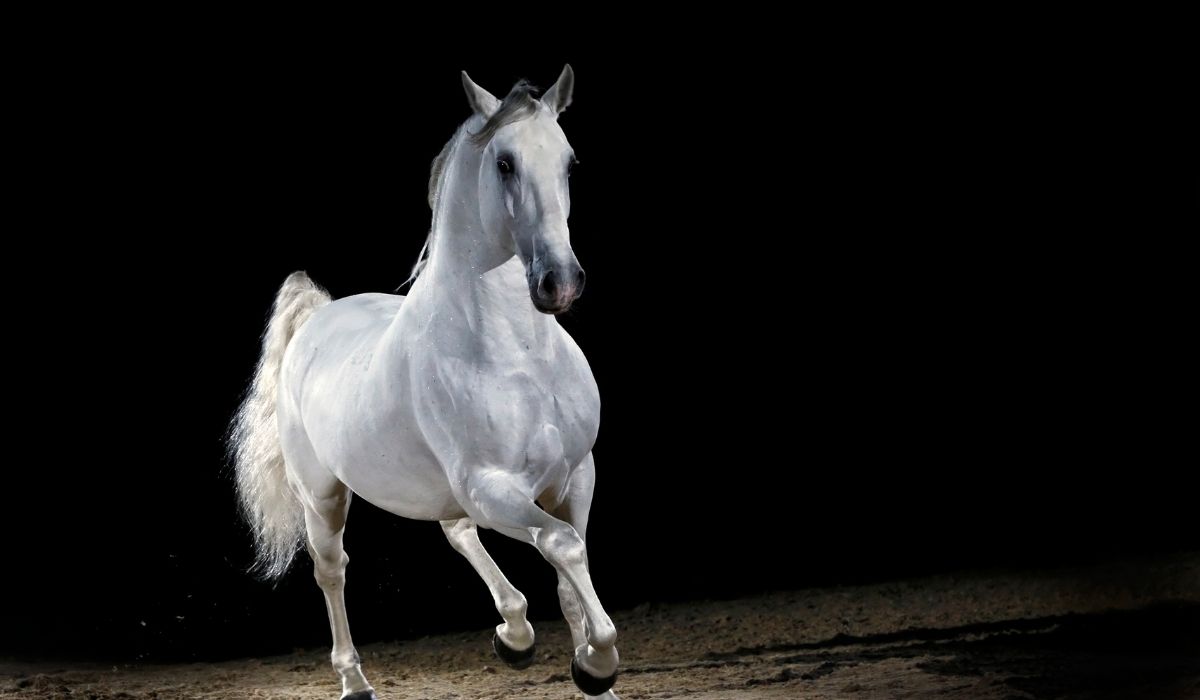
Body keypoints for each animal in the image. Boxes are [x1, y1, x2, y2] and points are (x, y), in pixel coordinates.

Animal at [228, 65, 620, 699]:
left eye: (569, 162)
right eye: (505, 163)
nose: (559, 282)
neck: (520, 359)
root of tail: (316, 318)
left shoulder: (575, 473)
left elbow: (569, 564)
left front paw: (592, 671)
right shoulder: (491, 487)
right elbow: (563, 544)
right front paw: (598, 665)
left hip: (439, 487)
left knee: (457, 532)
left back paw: (514, 635)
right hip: (323, 496)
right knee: (332, 571)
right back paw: (355, 681)